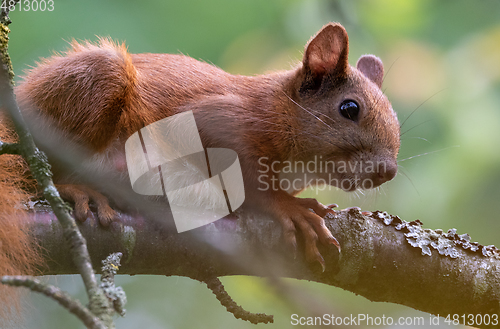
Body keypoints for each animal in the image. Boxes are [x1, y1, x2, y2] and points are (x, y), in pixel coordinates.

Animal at [0, 21, 398, 290]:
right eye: (349, 108)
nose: (388, 171)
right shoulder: (215, 118)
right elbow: (247, 179)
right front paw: (289, 208)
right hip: (93, 83)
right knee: (35, 173)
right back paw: (77, 189)